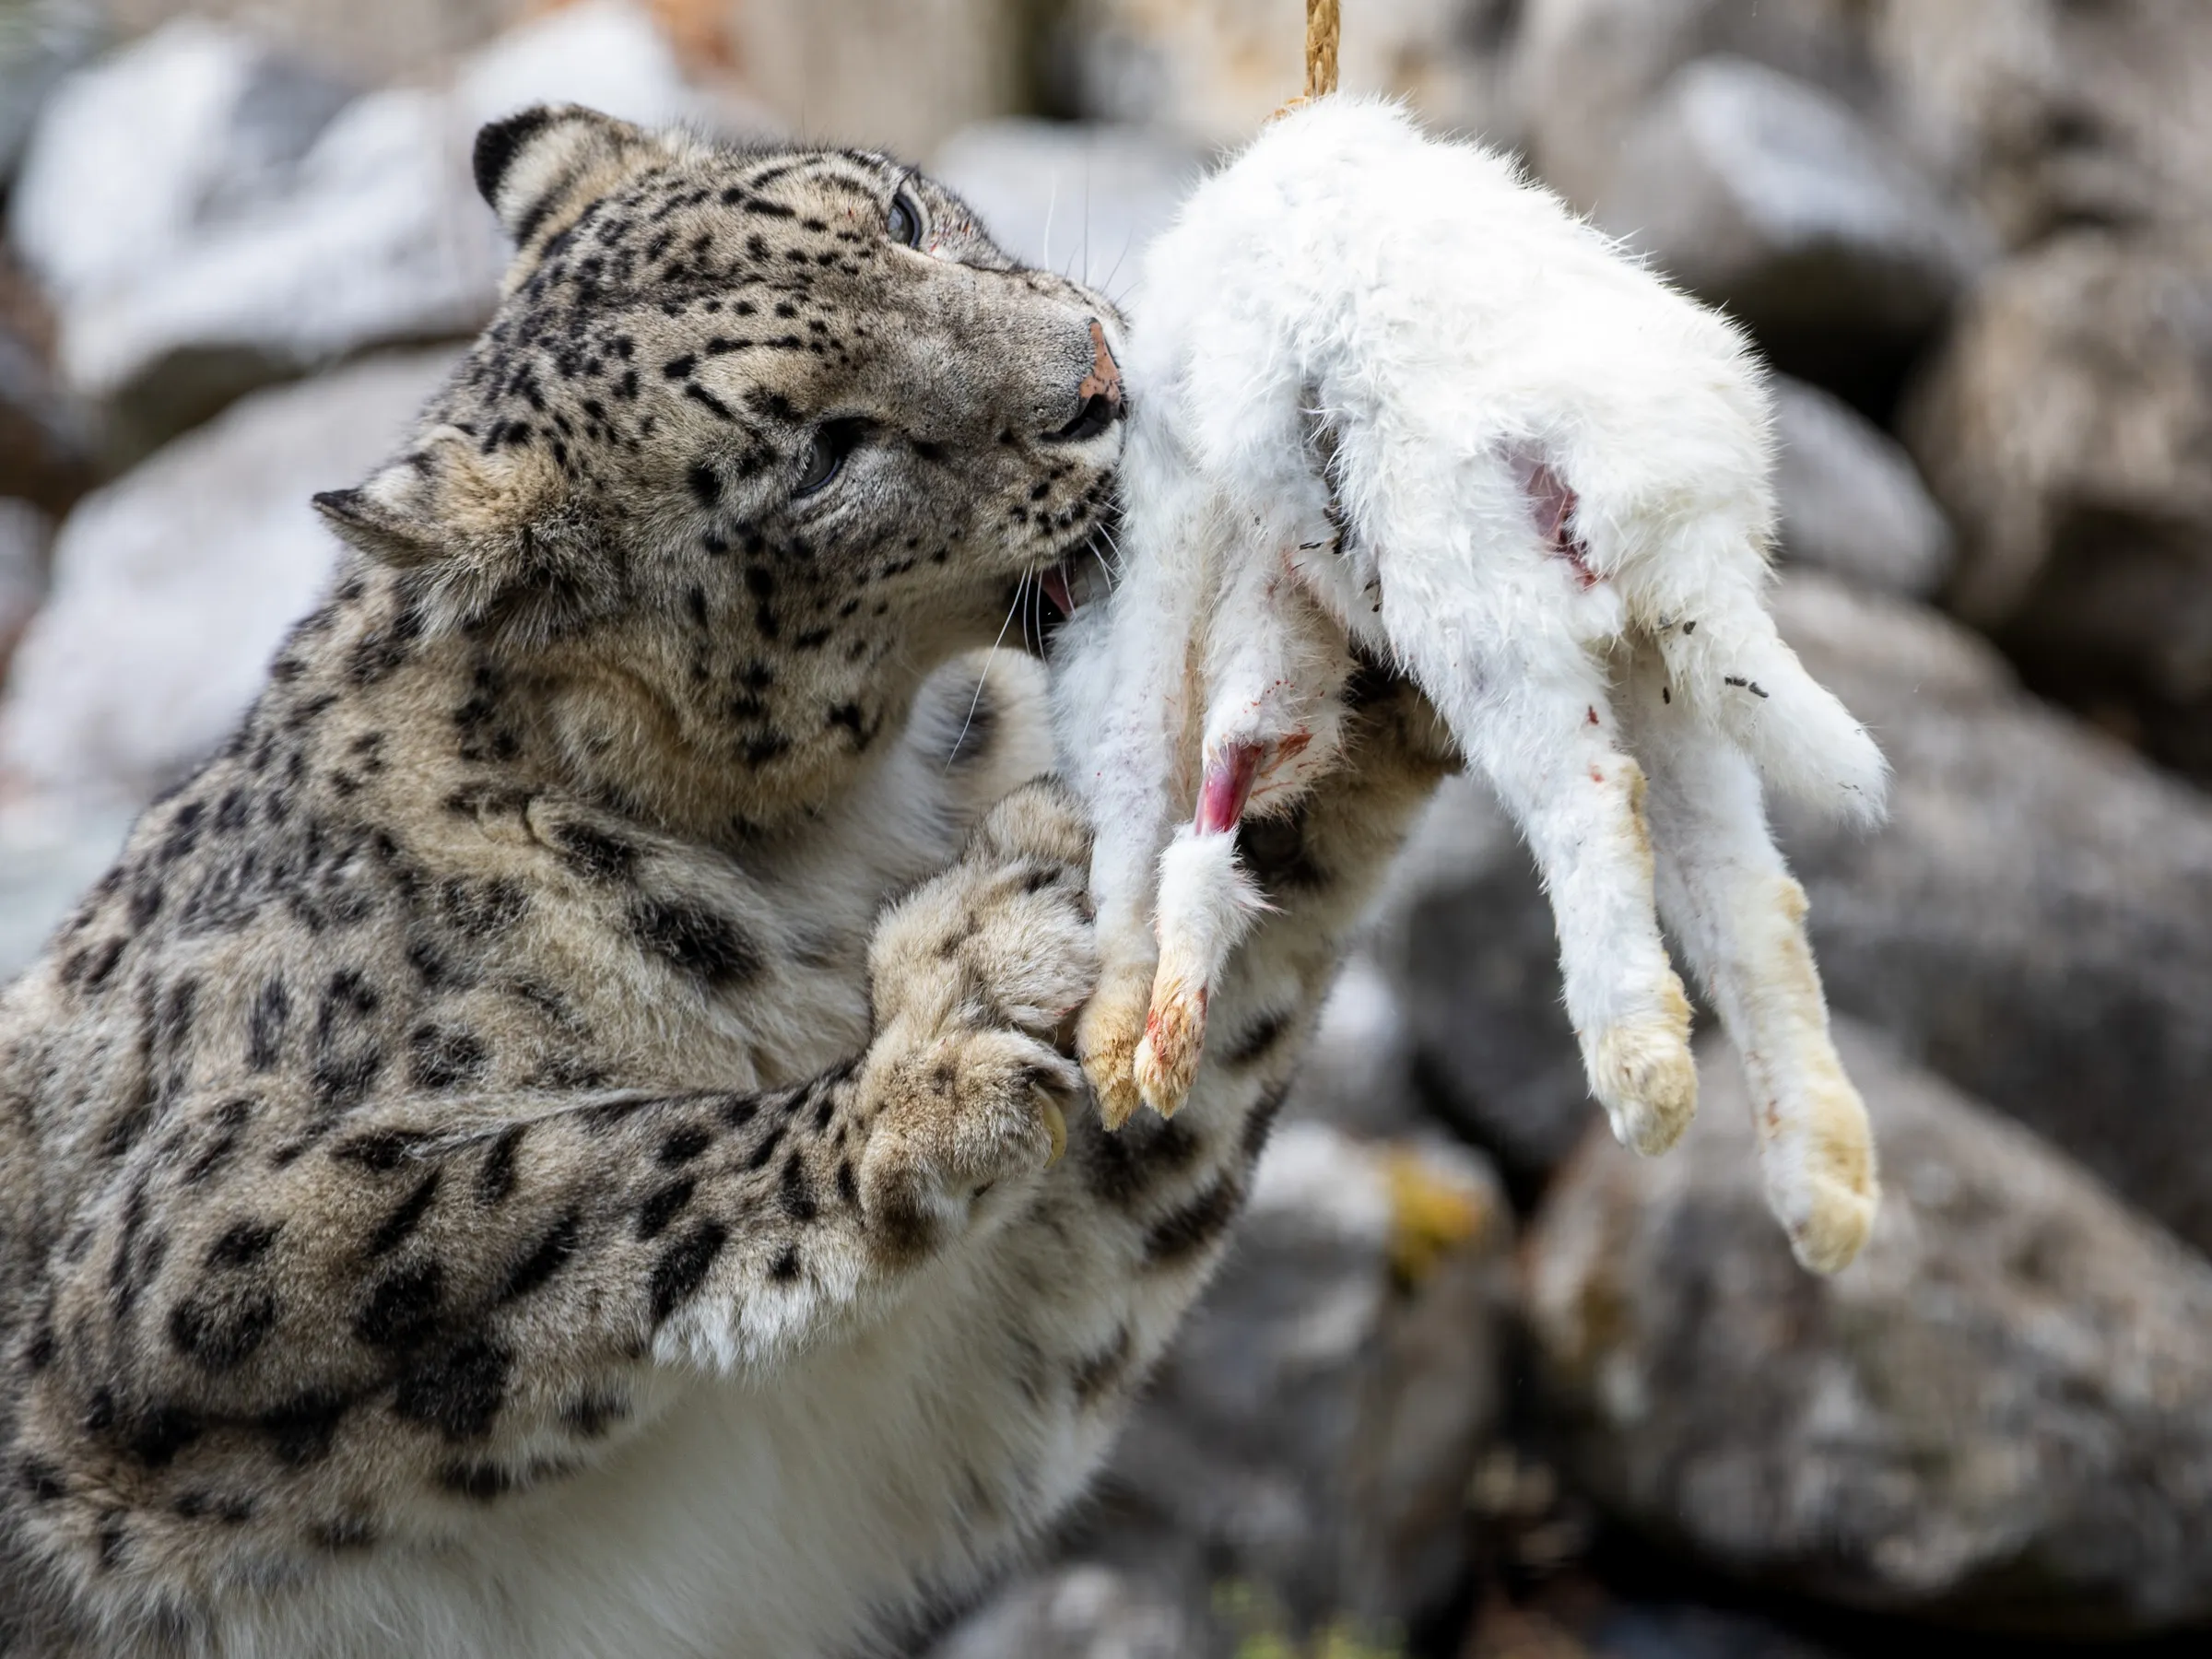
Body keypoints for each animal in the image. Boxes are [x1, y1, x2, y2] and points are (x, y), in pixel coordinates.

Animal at [0, 105, 1455, 1657]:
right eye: (819, 453)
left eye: (900, 214)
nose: (1099, 383)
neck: (847, 833)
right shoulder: (200, 1248)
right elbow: (582, 1170)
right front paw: (945, 1030)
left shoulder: (952, 1395)